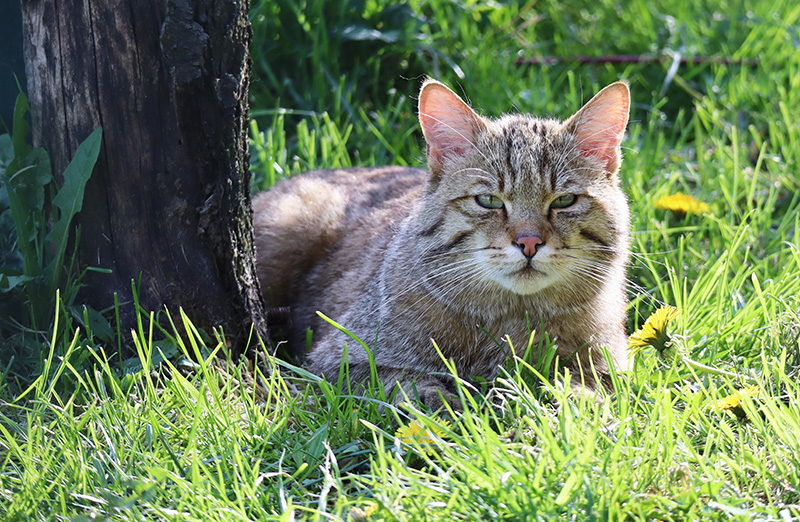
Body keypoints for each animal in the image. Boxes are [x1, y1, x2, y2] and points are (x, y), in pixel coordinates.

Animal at [255, 78, 632, 406]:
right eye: (489, 201)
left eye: (564, 201)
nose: (528, 242)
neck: (510, 318)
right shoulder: (335, 361)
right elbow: (399, 379)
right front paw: (436, 399)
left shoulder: (614, 365)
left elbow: (587, 382)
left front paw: (570, 397)